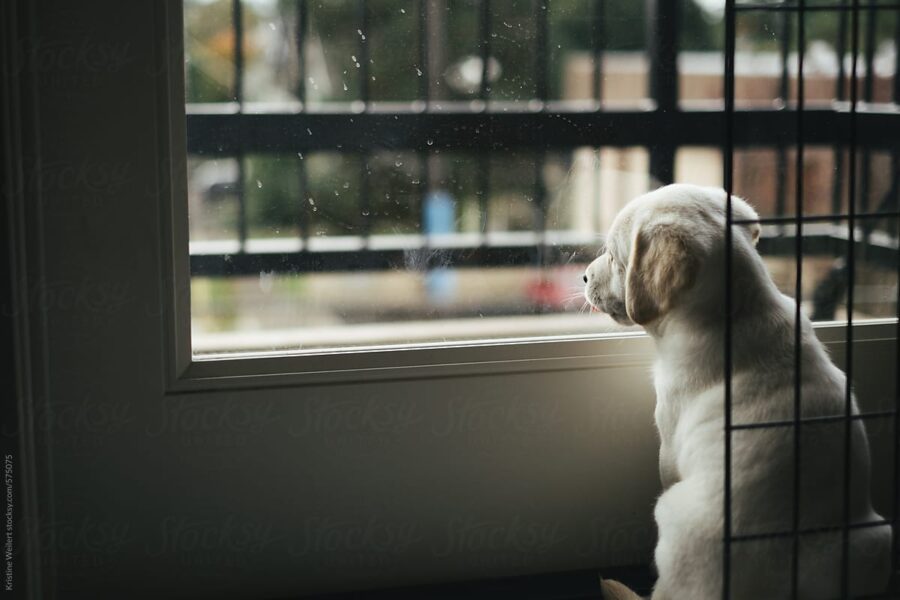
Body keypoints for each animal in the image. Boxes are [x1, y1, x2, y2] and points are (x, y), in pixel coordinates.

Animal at [584, 184, 892, 600]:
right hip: (876, 538)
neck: (738, 312)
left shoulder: (669, 443)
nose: (584, 277)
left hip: (671, 512)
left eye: (616, 259)